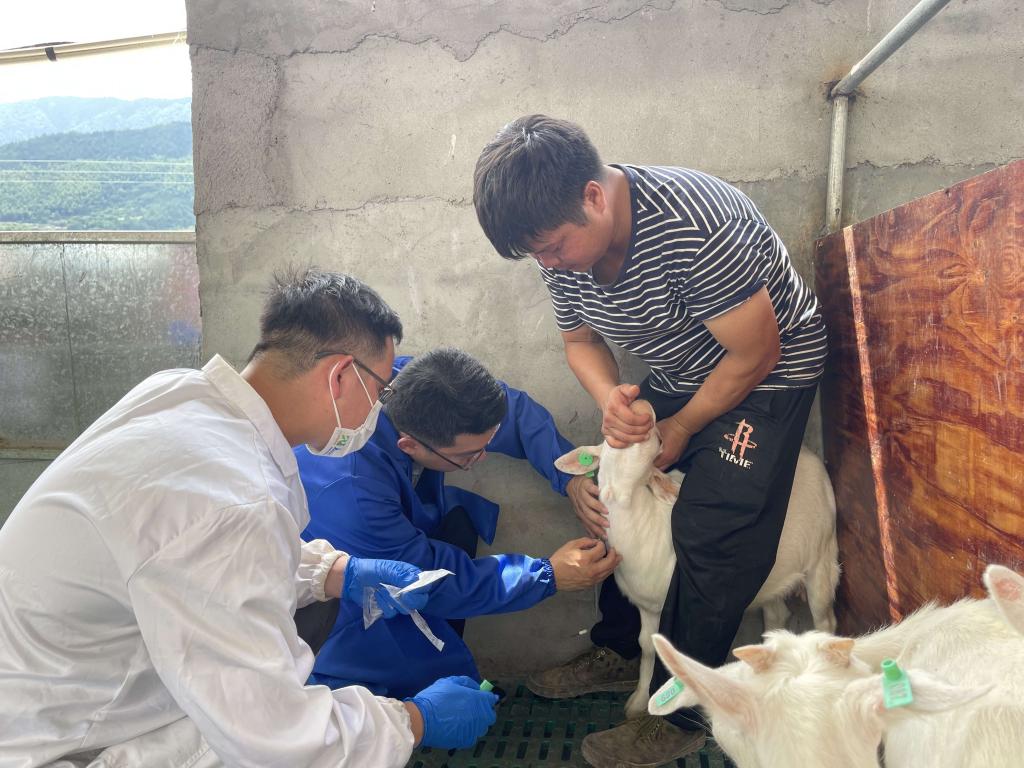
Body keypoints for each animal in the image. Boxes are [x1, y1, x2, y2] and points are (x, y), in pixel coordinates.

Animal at [555, 399, 839, 717]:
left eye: (656, 438)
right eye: (608, 441)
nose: (639, 404)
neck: (642, 520)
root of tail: (810, 456)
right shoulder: (647, 607)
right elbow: (647, 647)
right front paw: (639, 702)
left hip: (822, 558)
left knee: (825, 622)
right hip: (774, 573)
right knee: (778, 615)